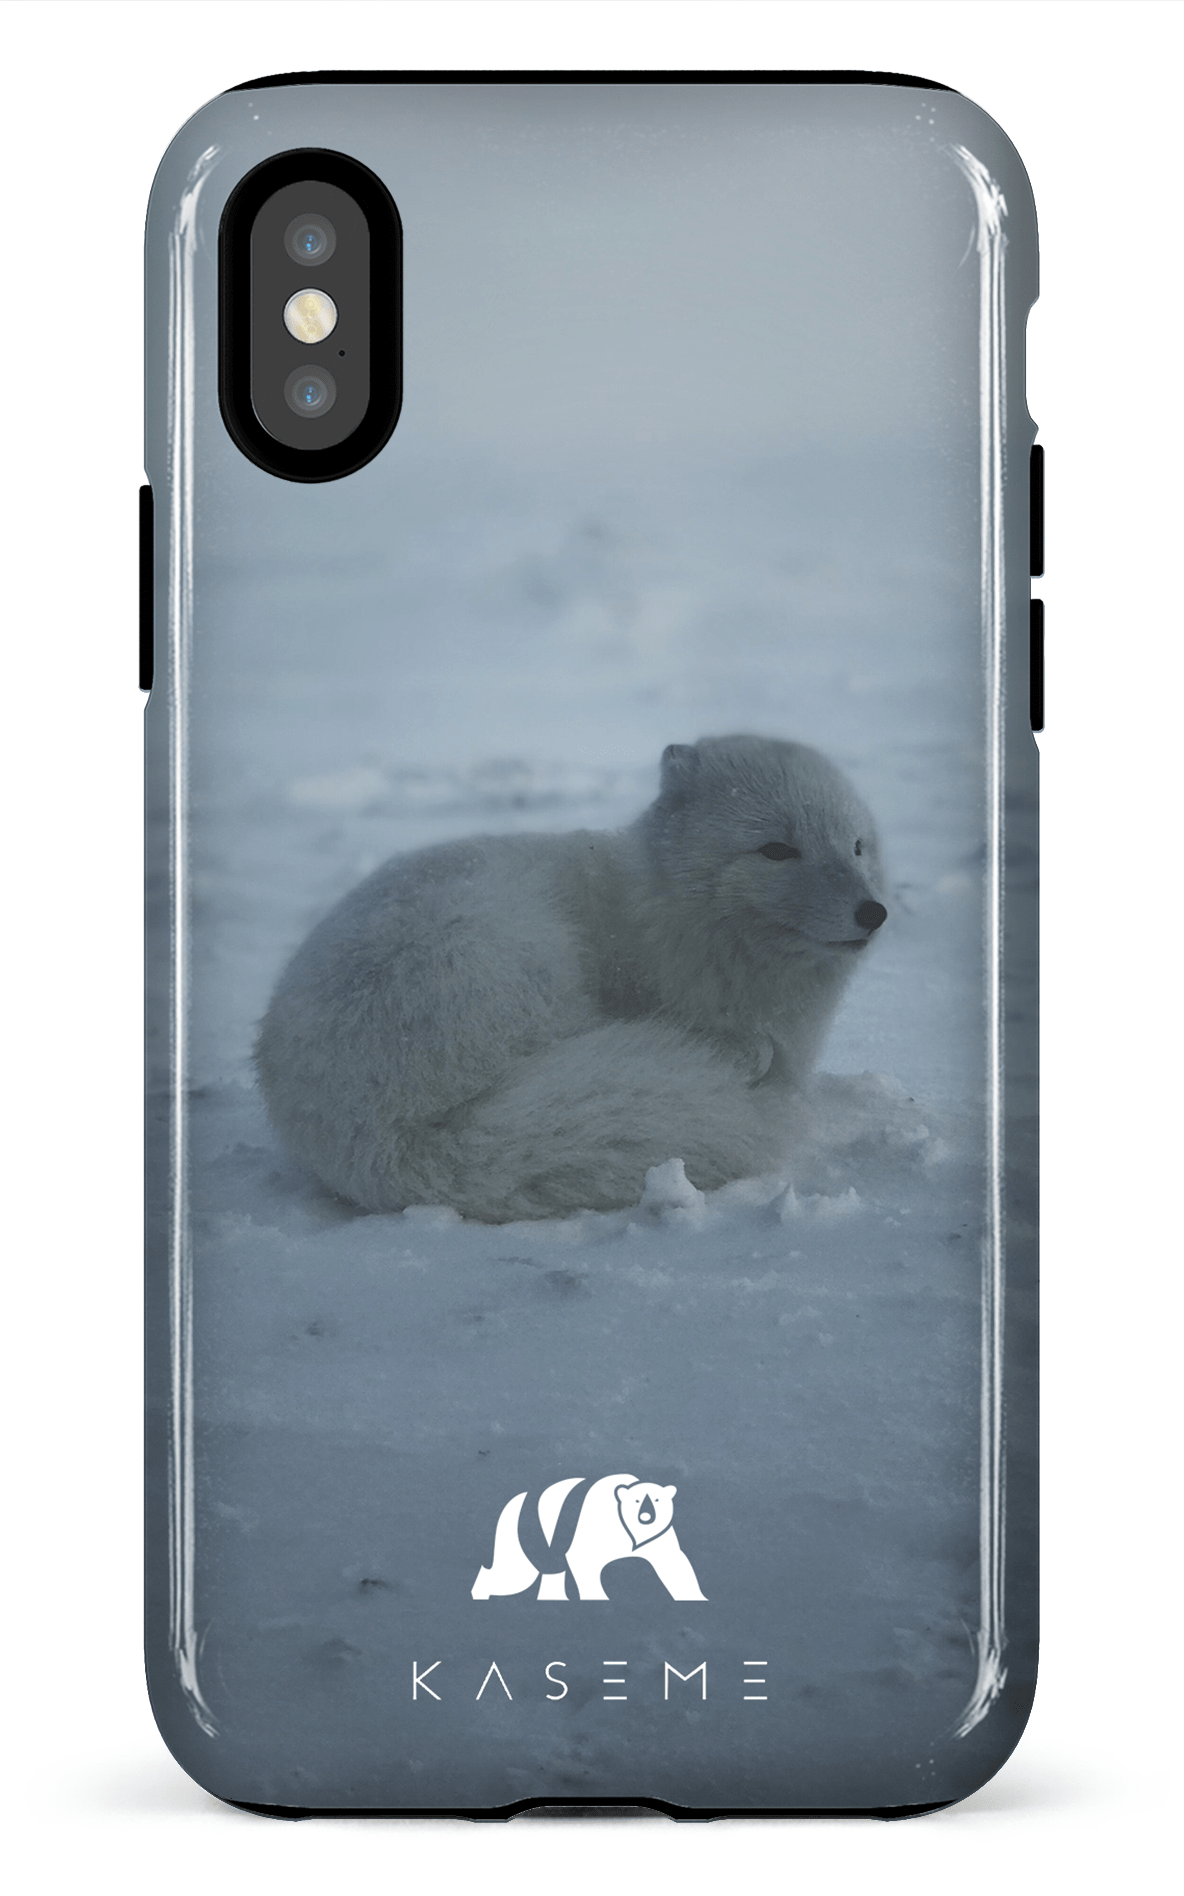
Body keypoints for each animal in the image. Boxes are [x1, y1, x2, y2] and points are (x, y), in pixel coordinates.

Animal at [255, 735, 887, 1221]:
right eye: (776, 850)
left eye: (856, 846)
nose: (873, 912)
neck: (665, 913)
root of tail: (384, 1139)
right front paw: (745, 1055)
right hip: (511, 955)